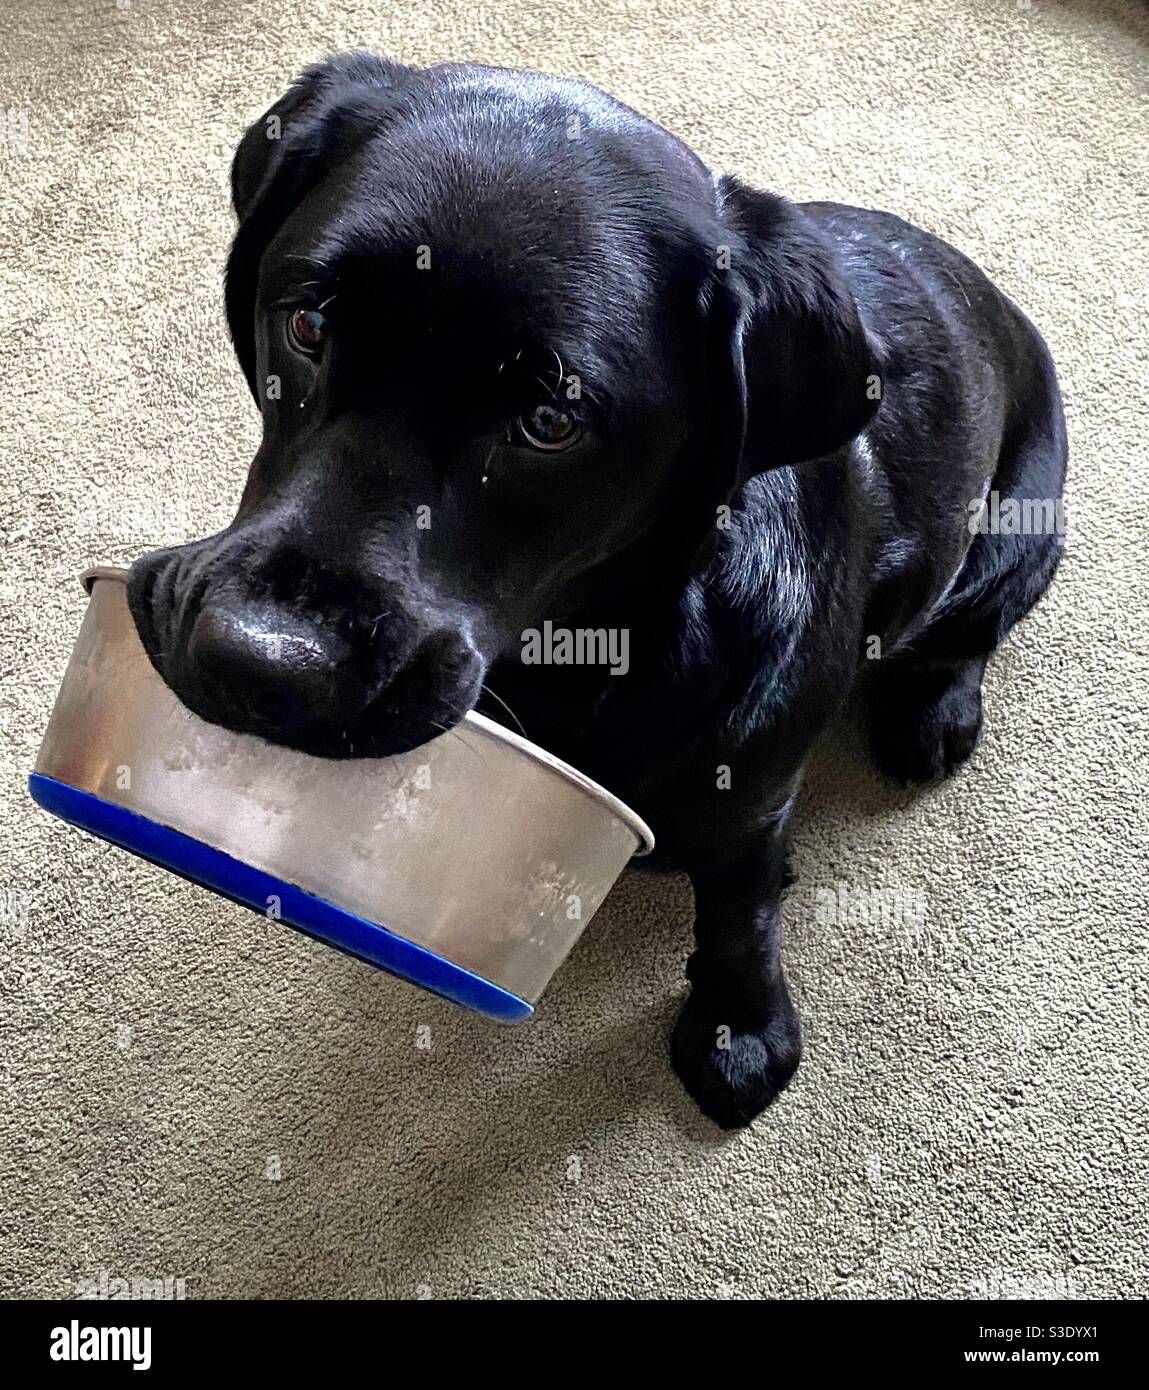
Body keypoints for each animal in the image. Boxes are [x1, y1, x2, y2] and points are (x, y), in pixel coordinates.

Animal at [127, 54, 1067, 1128]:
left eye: (549, 421)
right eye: (308, 325)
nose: (257, 664)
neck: (581, 656)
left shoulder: (751, 803)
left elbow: (740, 913)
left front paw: (740, 1027)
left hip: (1019, 532)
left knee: (966, 634)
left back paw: (933, 714)